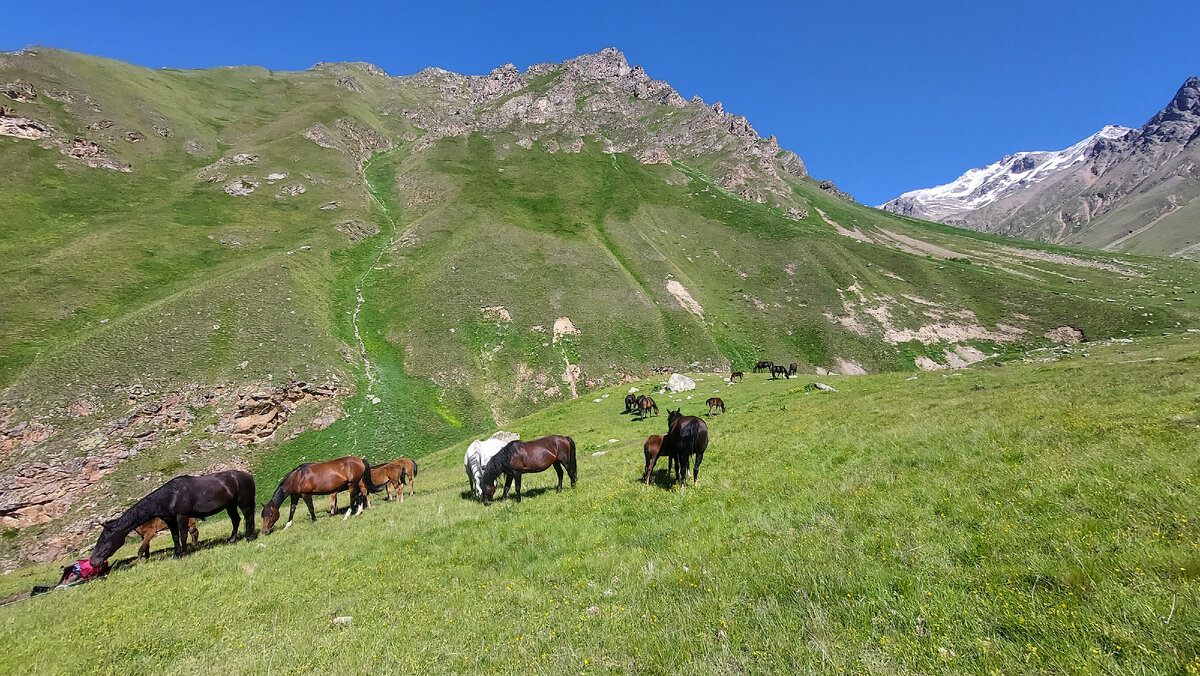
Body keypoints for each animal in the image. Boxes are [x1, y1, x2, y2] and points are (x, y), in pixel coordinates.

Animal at [90, 470, 256, 566]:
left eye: (104, 540)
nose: (93, 562)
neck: (170, 496)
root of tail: (248, 475)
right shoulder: (170, 521)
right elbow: (175, 537)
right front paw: (177, 554)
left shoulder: (182, 517)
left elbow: (182, 536)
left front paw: (184, 553)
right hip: (230, 505)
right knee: (236, 520)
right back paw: (232, 540)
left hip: (243, 502)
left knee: (247, 517)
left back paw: (249, 537)